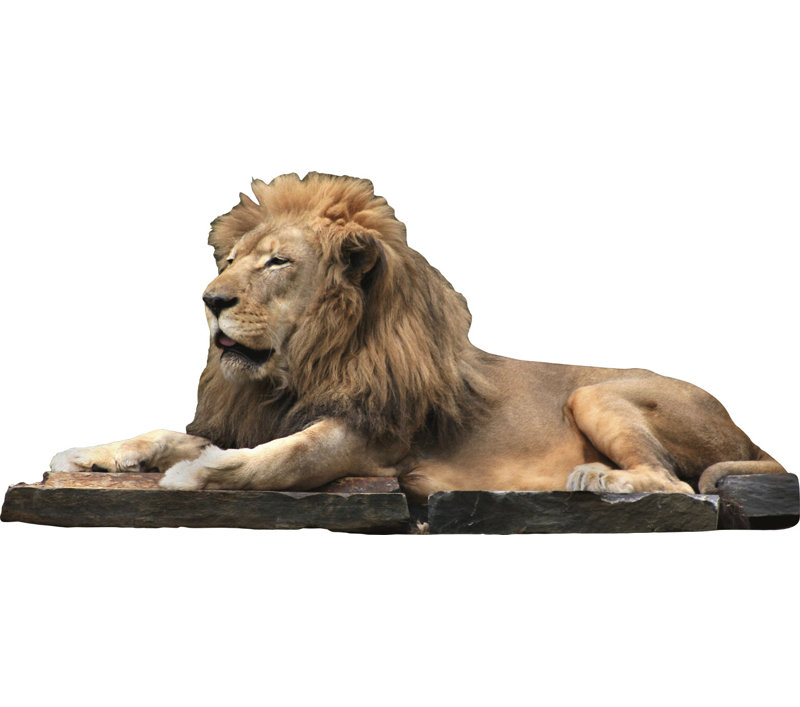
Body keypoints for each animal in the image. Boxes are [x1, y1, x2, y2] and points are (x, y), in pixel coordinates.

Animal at [50, 172, 785, 499]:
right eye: (227, 261)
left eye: (277, 262)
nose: (211, 301)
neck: (301, 368)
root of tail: (746, 431)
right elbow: (162, 433)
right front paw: (91, 454)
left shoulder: (372, 440)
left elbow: (282, 457)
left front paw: (194, 473)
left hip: (597, 395)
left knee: (676, 484)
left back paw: (594, 478)